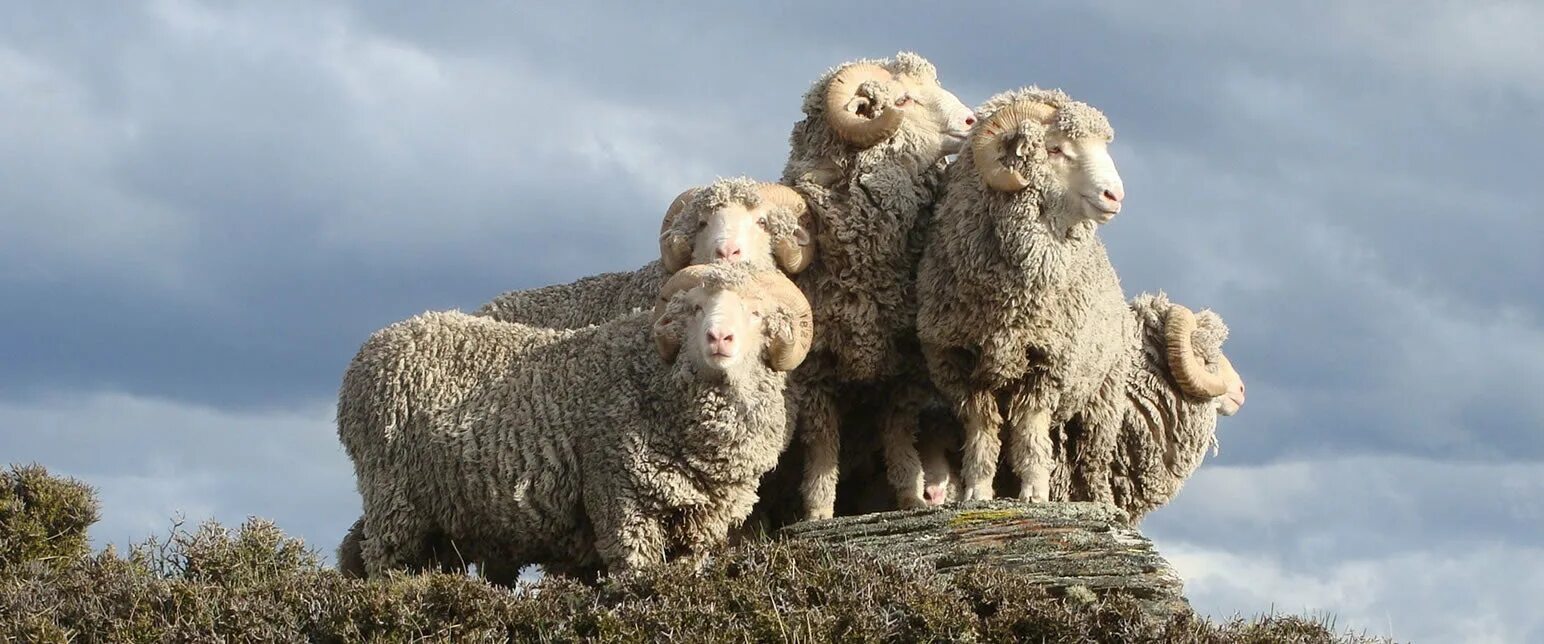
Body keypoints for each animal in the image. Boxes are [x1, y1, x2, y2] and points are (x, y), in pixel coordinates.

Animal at [341, 264, 821, 574]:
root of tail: (372, 346)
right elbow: (635, 577)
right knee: (383, 562)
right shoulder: (621, 498)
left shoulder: (702, 524)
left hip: (443, 515)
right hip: (394, 497)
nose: (719, 338)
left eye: (757, 313)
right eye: (695, 309)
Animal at [784, 50, 975, 515]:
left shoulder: (906, 367)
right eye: (902, 100)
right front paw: (818, 513)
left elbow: (899, 435)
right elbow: (822, 446)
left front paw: (910, 497)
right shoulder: (813, 372)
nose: (971, 120)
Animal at [914, 88, 1136, 503]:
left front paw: (1034, 492)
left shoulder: (1048, 364)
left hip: (1103, 395)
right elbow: (982, 431)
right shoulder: (960, 363)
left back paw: (1098, 501)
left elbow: (1029, 431)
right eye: (1055, 148)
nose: (1114, 195)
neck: (1011, 304)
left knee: (1093, 457)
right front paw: (977, 491)